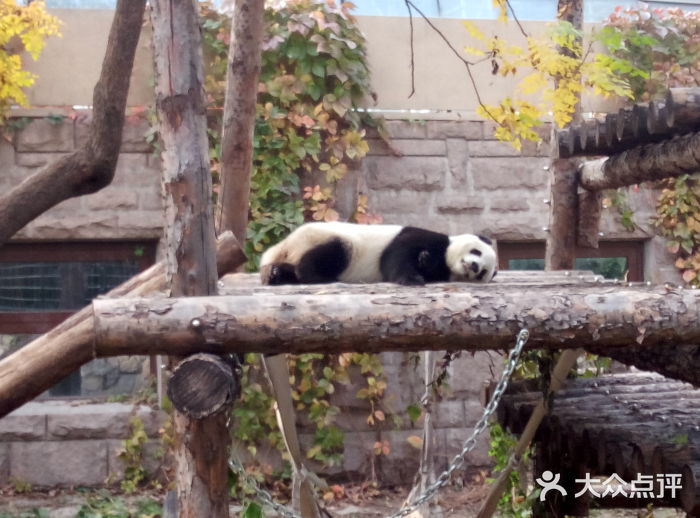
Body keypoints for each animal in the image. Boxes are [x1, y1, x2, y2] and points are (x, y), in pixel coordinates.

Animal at [258, 222, 498, 288]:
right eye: (476, 251)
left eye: (483, 272)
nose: (474, 266)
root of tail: (286, 244)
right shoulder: (418, 236)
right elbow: (396, 256)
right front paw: (412, 278)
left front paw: (424, 263)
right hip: (325, 237)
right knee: (333, 252)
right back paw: (318, 276)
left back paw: (276, 274)